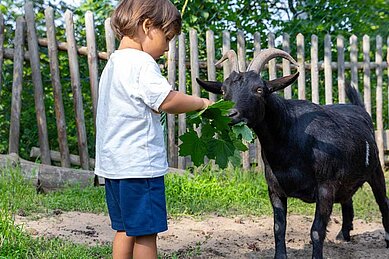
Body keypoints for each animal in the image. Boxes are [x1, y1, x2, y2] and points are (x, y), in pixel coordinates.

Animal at [197, 49, 388, 259]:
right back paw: (343, 235)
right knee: (348, 198)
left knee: (382, 201)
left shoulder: (325, 187)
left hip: (375, 170)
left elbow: (317, 230)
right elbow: (279, 227)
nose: (230, 114)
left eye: (259, 89)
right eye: (223, 90)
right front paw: (280, 256)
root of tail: (360, 109)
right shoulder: (275, 189)